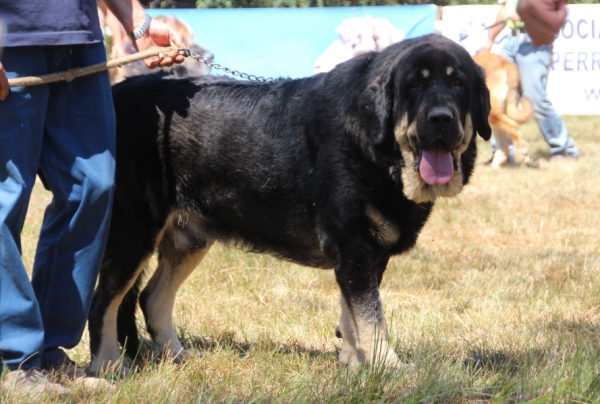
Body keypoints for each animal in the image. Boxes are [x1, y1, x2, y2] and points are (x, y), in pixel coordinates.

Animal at [90, 33, 492, 374]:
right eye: (414, 85)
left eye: (458, 83)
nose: (440, 118)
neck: (380, 152)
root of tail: (116, 94)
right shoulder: (355, 246)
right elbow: (372, 316)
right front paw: (388, 367)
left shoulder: (363, 254)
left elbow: (352, 314)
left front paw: (354, 362)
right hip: (134, 233)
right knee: (104, 302)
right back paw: (108, 367)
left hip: (189, 238)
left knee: (151, 298)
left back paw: (177, 356)